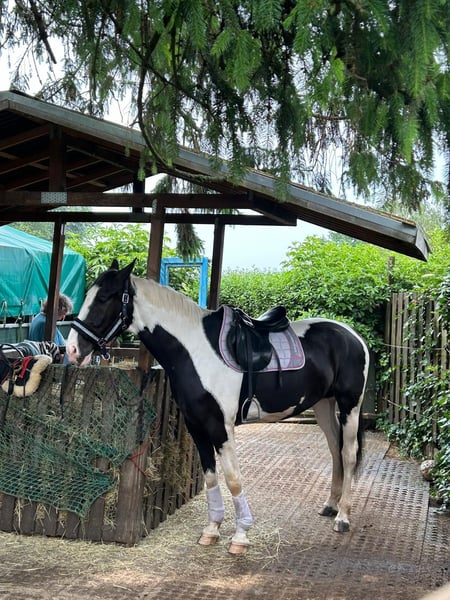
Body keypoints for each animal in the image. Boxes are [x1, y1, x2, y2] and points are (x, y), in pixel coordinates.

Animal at [66, 259, 370, 554]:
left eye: (104, 297)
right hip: (323, 405)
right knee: (334, 450)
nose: (72, 350)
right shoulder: (196, 425)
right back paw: (330, 506)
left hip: (349, 406)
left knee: (348, 454)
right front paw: (212, 530)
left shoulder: (220, 426)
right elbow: (211, 477)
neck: (195, 350)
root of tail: (353, 336)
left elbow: (233, 478)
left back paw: (343, 517)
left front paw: (241, 535)